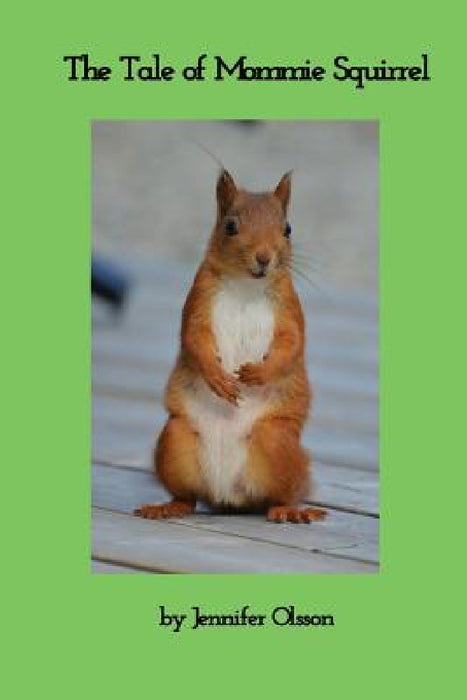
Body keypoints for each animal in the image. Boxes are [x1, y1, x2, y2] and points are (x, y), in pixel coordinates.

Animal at [134, 170, 326, 523]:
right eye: (230, 226)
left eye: (288, 229)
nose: (264, 258)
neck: (246, 286)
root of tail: (228, 497)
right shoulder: (198, 301)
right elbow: (193, 338)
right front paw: (218, 379)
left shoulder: (289, 309)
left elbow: (292, 343)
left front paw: (259, 373)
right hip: (175, 439)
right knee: (188, 497)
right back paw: (167, 506)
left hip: (276, 441)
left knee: (280, 494)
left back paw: (289, 510)